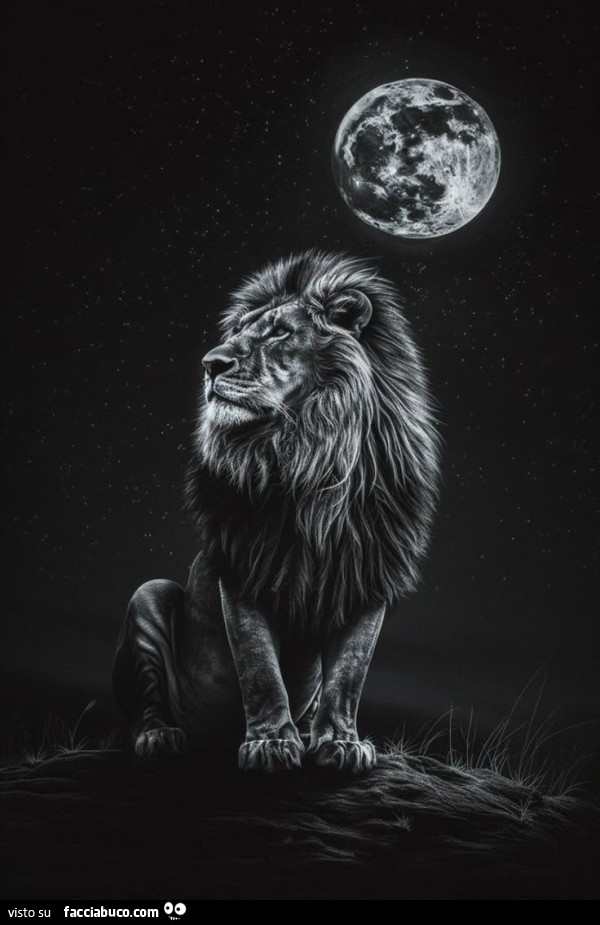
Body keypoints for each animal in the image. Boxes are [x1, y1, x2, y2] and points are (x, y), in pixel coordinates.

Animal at [112, 250, 440, 772]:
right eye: (236, 331)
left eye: (280, 333)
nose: (210, 363)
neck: (311, 455)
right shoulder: (244, 569)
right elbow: (259, 667)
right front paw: (269, 744)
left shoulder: (369, 576)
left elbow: (348, 674)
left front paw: (341, 743)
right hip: (149, 593)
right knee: (144, 705)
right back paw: (160, 736)